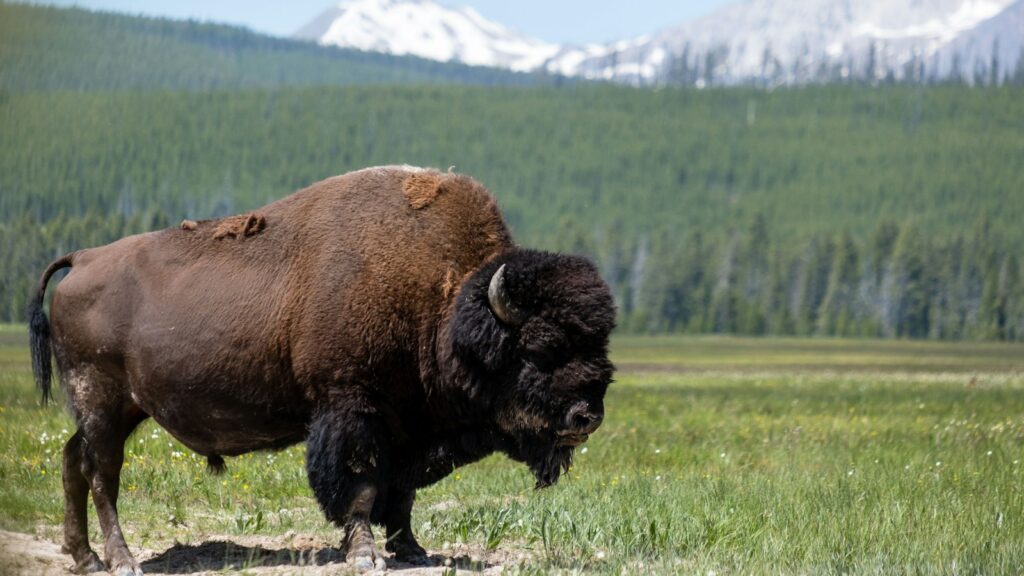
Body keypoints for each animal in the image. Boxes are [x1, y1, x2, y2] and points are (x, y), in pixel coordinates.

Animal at [29, 166, 616, 574]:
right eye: (538, 350)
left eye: (600, 343)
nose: (586, 416)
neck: (445, 306)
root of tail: (83, 260)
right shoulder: (351, 408)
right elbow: (361, 487)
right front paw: (365, 555)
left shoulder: (410, 428)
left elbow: (401, 494)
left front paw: (412, 549)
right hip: (102, 400)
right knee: (102, 475)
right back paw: (121, 560)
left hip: (118, 409)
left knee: (72, 460)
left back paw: (83, 557)